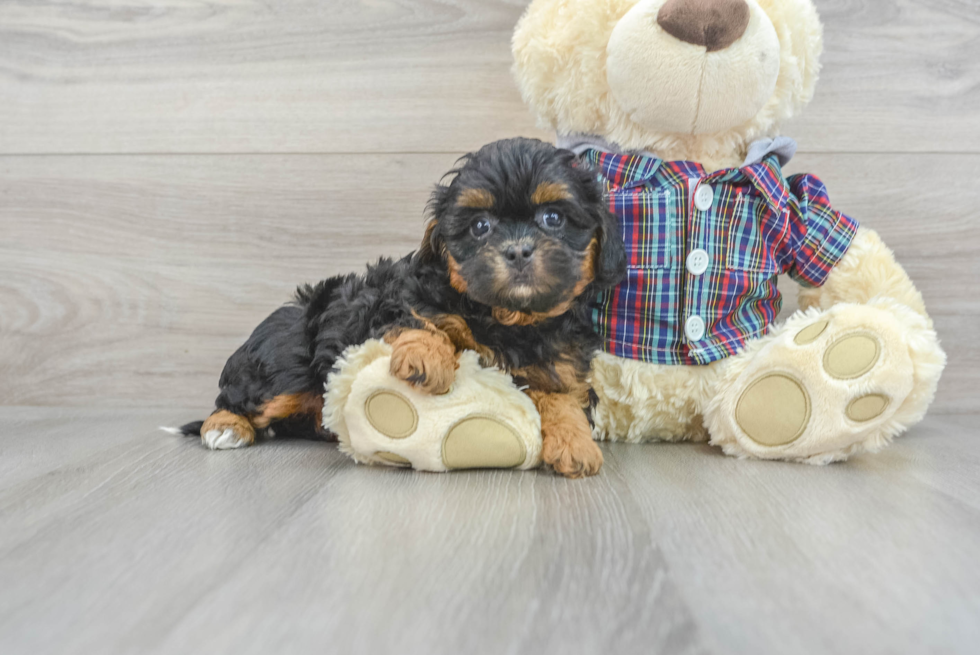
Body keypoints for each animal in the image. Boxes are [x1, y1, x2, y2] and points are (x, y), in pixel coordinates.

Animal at [177, 137, 628, 476]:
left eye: (553, 218)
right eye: (480, 226)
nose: (517, 251)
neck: (507, 317)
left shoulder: (561, 366)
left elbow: (562, 400)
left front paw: (574, 444)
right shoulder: (394, 304)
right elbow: (421, 321)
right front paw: (426, 359)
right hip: (285, 360)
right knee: (245, 398)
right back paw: (225, 427)